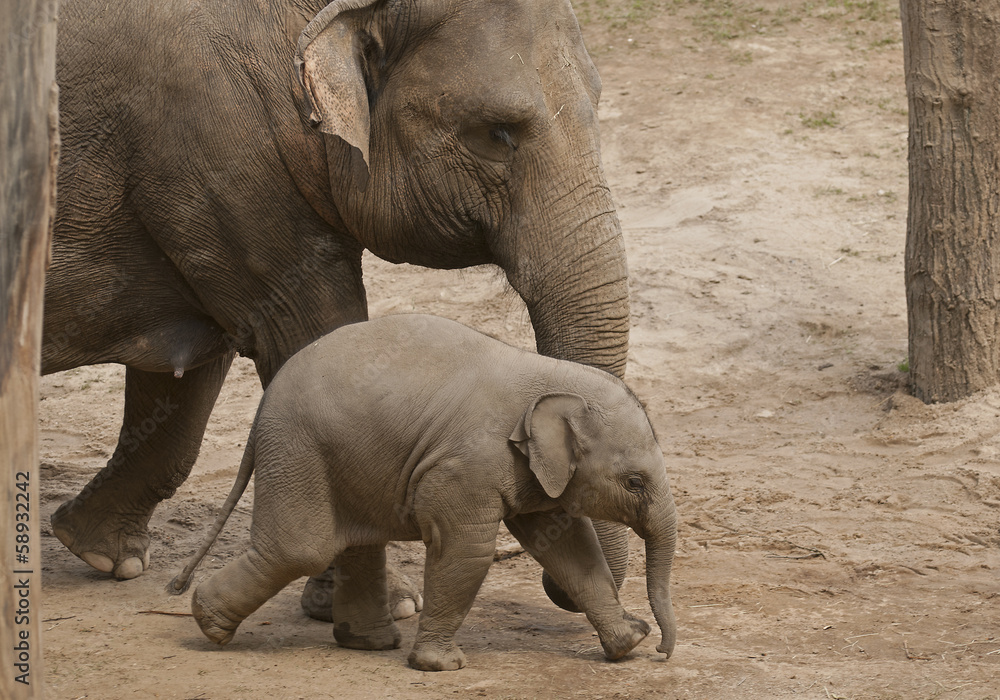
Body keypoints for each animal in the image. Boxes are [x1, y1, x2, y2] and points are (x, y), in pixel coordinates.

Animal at [44, 0, 631, 617]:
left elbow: (191, 372)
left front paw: (98, 552)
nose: (561, 592)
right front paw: (388, 607)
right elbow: (308, 337)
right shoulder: (222, 159)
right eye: (497, 133)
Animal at [168, 314, 677, 671]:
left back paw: (369, 643)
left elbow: (570, 546)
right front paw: (441, 667)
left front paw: (627, 644)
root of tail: (259, 413)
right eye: (634, 482)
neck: (550, 378)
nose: (663, 650)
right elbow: (467, 548)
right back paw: (208, 625)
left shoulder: (529, 469)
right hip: (298, 451)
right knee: (300, 548)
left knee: (355, 542)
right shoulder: (469, 462)